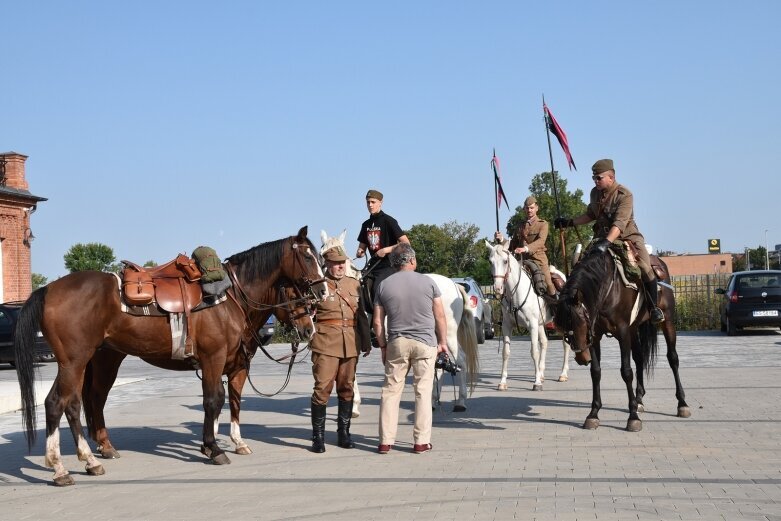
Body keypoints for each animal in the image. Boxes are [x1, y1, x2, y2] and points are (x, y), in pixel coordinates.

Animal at [80, 280, 316, 460]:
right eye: (293, 295)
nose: (309, 330)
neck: (234, 308)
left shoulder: (236, 368)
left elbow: (232, 400)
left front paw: (232, 442)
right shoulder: (213, 361)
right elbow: (214, 400)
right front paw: (212, 446)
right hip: (106, 362)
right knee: (97, 398)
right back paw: (105, 445)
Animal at [318, 230, 478, 412]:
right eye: (321, 254)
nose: (323, 286)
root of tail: (453, 283)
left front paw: (354, 406)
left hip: (449, 333)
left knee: (461, 360)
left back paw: (460, 402)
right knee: (438, 365)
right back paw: (433, 401)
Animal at [482, 240, 568, 390]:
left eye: (505, 261)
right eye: (490, 261)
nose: (498, 288)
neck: (515, 293)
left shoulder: (532, 325)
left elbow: (534, 352)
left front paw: (537, 382)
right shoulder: (507, 326)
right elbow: (506, 352)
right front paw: (502, 382)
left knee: (565, 345)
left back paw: (563, 374)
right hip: (541, 324)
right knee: (544, 342)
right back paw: (542, 373)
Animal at [556, 246, 688, 432]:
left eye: (580, 321)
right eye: (563, 325)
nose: (582, 358)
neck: (606, 289)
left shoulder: (623, 332)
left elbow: (626, 372)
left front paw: (632, 417)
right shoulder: (595, 336)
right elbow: (596, 372)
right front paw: (593, 414)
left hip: (667, 321)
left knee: (673, 358)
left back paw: (682, 403)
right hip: (635, 329)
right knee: (639, 358)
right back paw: (639, 400)